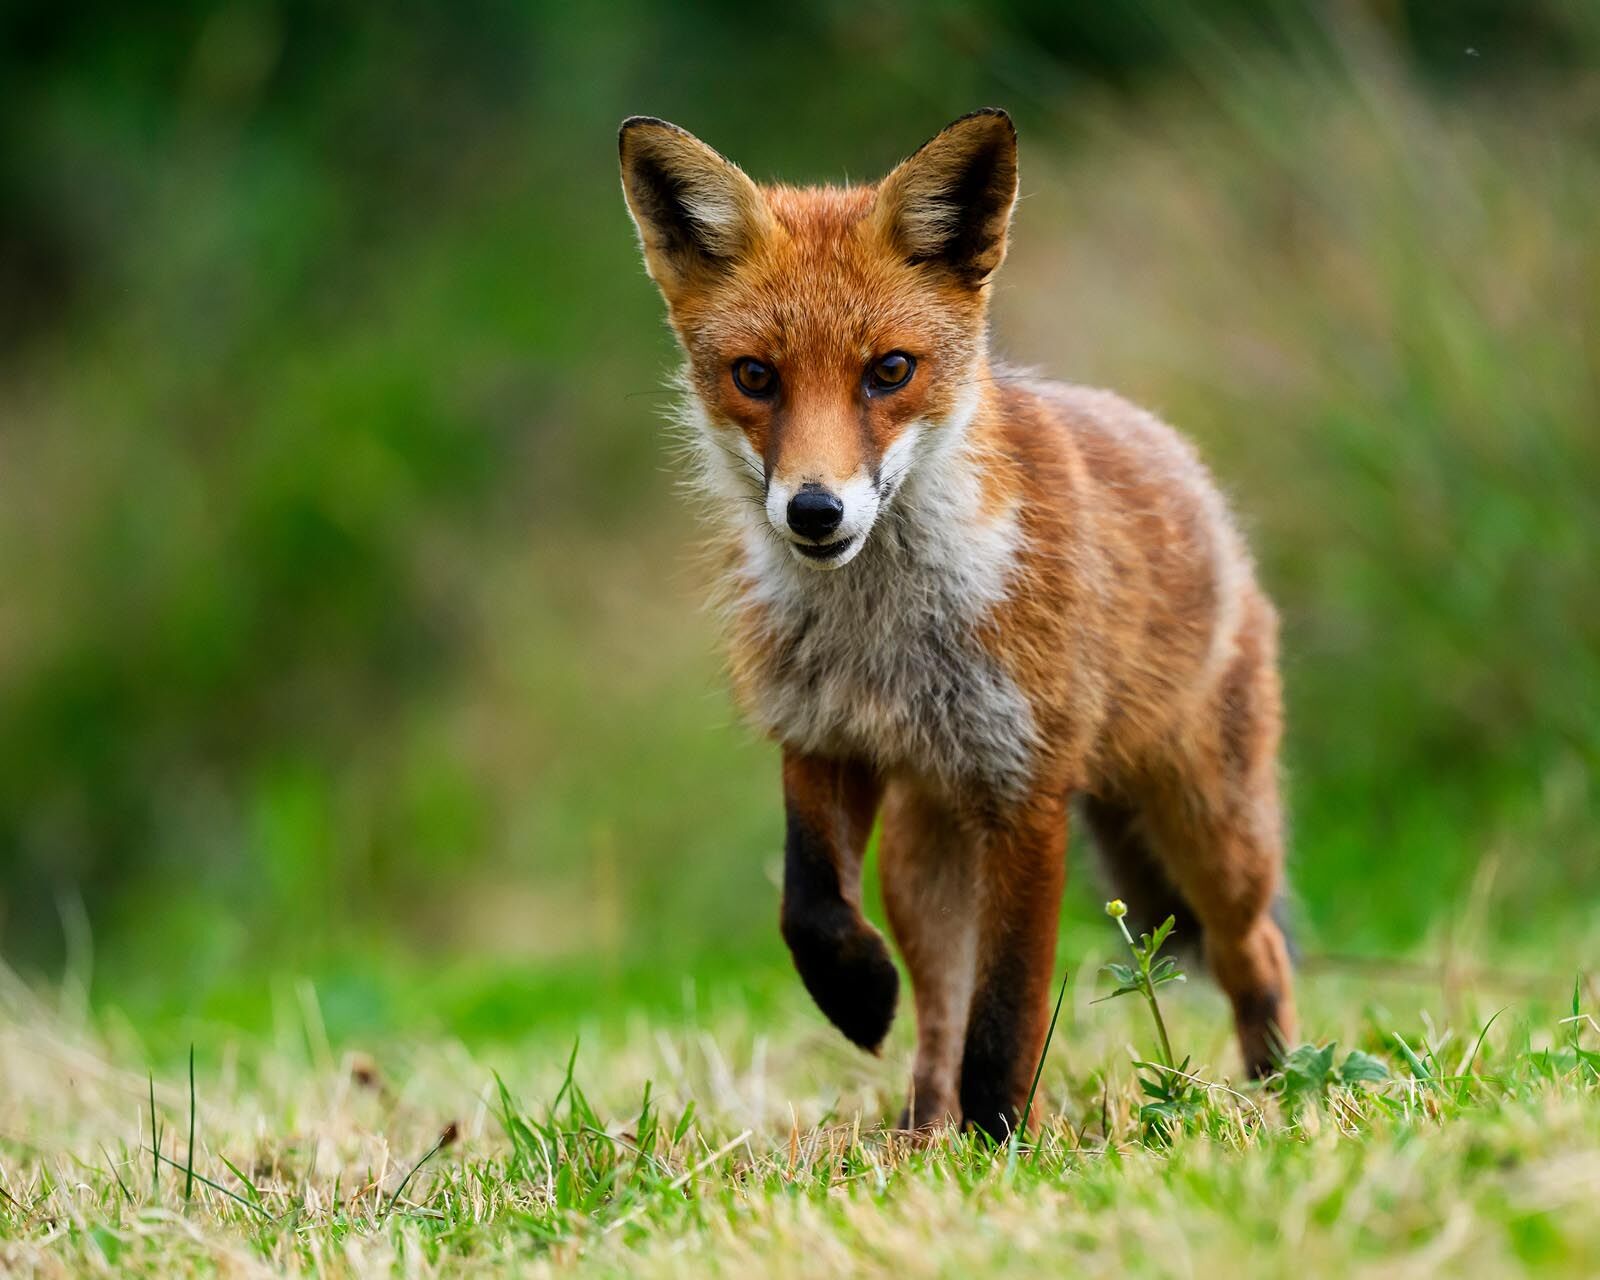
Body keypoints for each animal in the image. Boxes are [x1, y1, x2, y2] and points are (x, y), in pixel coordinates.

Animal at [618, 107, 1296, 1141]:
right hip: (922, 852)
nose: (815, 512)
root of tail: (1185, 462)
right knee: (938, 1008)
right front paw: (858, 997)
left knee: (1255, 950)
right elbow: (810, 907)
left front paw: (1007, 1137)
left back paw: (1281, 1084)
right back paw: (919, 1129)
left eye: (889, 371)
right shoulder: (823, 739)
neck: (883, 635)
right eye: (755, 376)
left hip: (1210, 828)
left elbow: (1008, 1009)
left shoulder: (1028, 789)